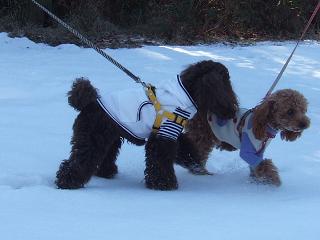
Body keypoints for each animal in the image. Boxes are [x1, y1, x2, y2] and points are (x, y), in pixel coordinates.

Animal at [56, 59, 239, 189]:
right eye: (226, 80)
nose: (232, 110)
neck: (184, 93)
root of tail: (89, 103)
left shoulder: (170, 133)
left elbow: (185, 148)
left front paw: (193, 163)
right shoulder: (164, 135)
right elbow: (161, 159)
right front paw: (164, 184)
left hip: (109, 138)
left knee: (104, 156)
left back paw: (106, 173)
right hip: (92, 138)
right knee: (78, 161)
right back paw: (66, 182)